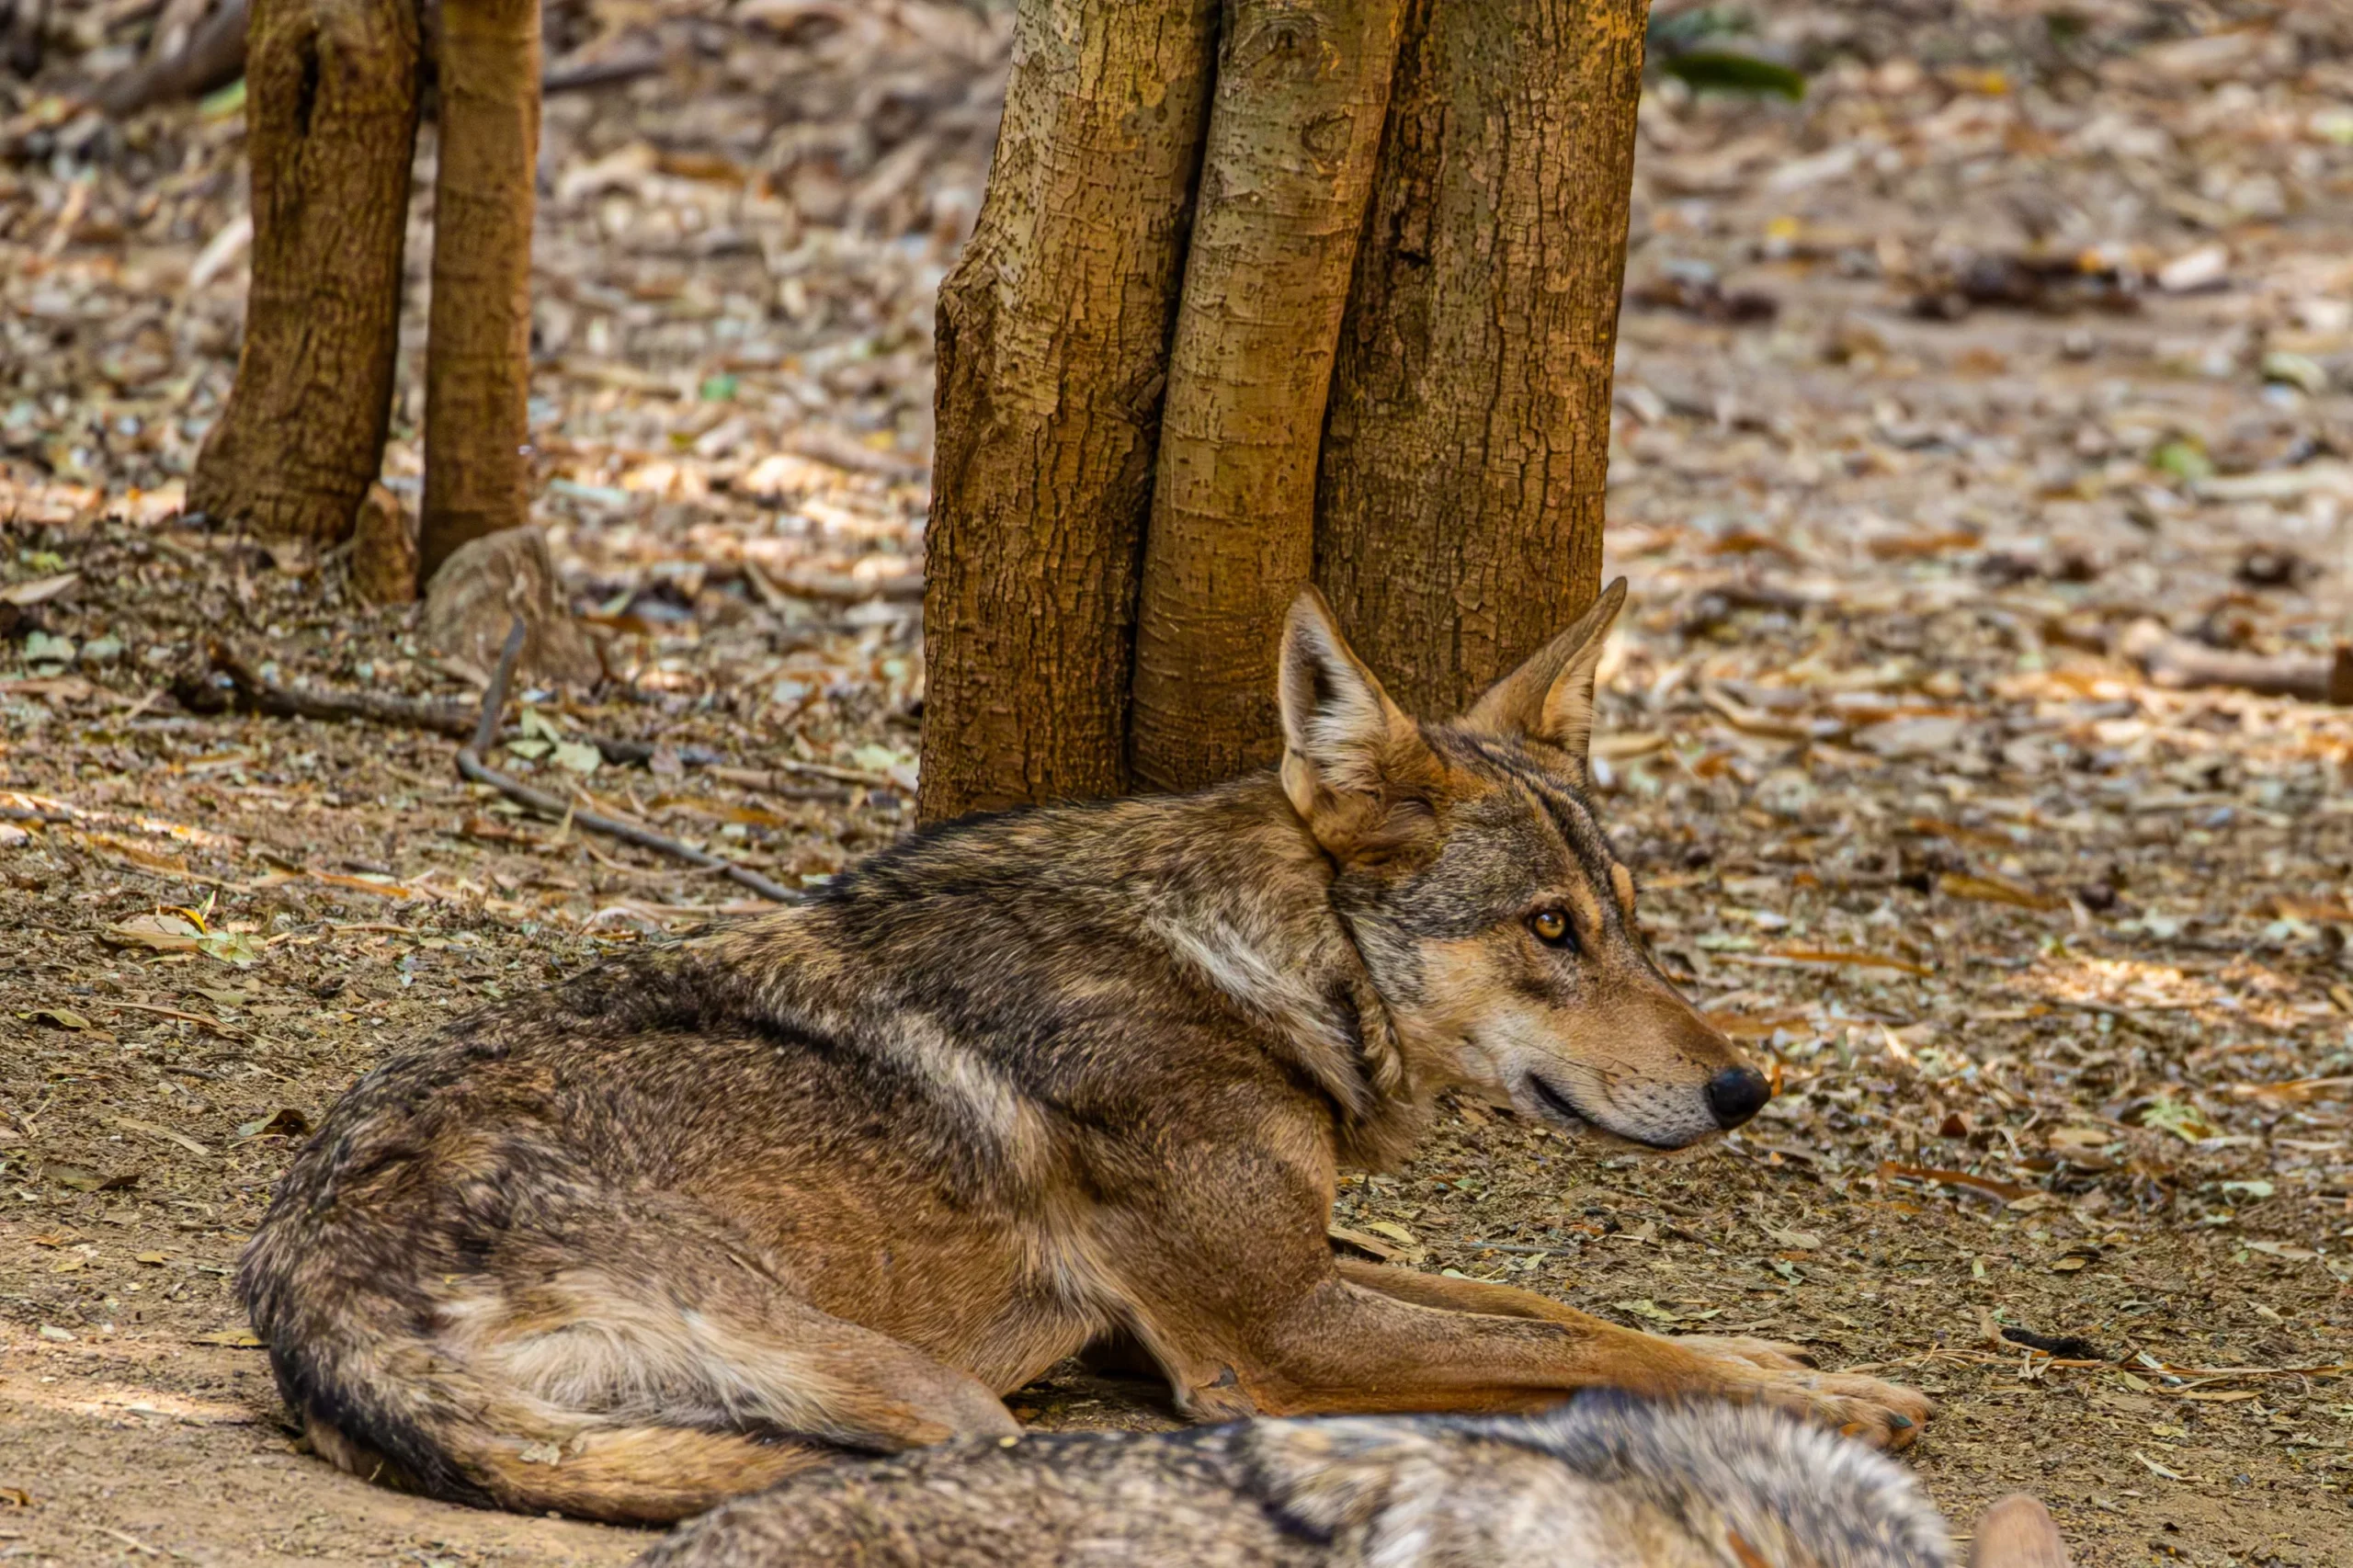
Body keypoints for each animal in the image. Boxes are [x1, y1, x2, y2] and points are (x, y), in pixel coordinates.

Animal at [238, 579, 1930, 1523]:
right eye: (1549, 930)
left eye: (1627, 923)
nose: (1745, 1089)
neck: (1258, 965)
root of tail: (299, 1283)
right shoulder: (1269, 1333)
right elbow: (1590, 1343)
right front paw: (1830, 1406)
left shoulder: (1274, 1281)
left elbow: (1548, 1306)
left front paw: (1787, 1366)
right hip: (934, 1395)